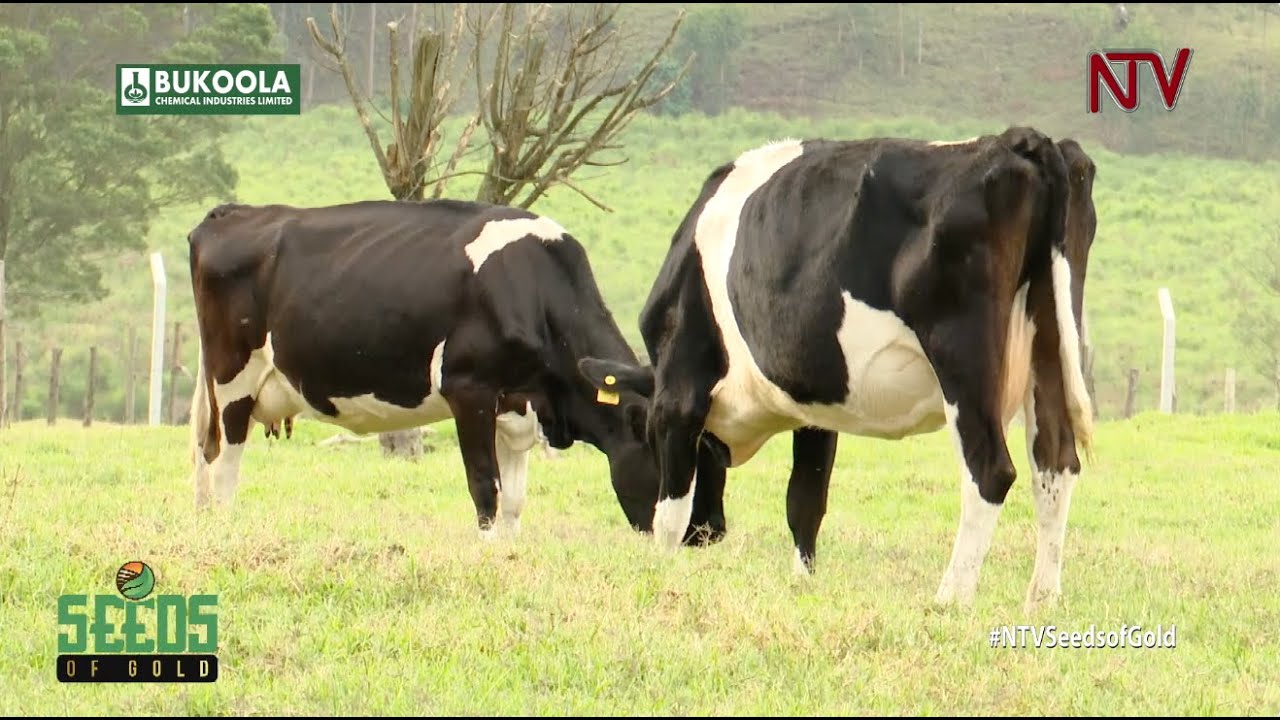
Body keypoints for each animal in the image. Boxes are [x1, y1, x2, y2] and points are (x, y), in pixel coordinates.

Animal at [185, 198, 671, 540]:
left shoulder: (517, 406)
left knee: (205, 456)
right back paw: (224, 529)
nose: (687, 537)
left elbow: (514, 500)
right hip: (233, 380)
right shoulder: (470, 389)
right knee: (223, 465)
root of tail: (231, 211)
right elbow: (486, 488)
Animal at [578, 127, 1099, 613]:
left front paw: (661, 574)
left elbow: (670, 510)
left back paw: (950, 597)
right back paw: (1042, 599)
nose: (708, 532)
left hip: (963, 355)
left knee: (989, 469)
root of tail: (1018, 140)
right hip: (1050, 340)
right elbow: (805, 500)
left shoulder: (679, 393)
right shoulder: (814, 407)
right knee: (1055, 462)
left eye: (643, 436)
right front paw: (801, 584)